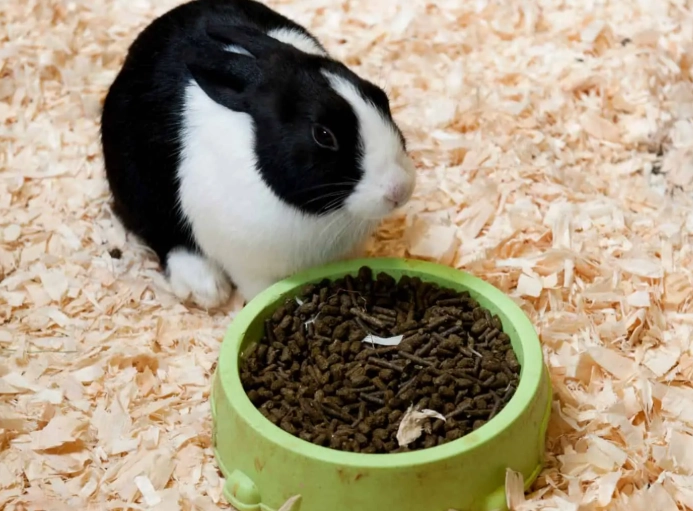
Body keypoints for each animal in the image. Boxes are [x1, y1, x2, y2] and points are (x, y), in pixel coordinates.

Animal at [100, 0, 416, 309]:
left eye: (380, 97)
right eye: (323, 135)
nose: (399, 190)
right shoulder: (249, 267)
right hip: (134, 183)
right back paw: (205, 288)